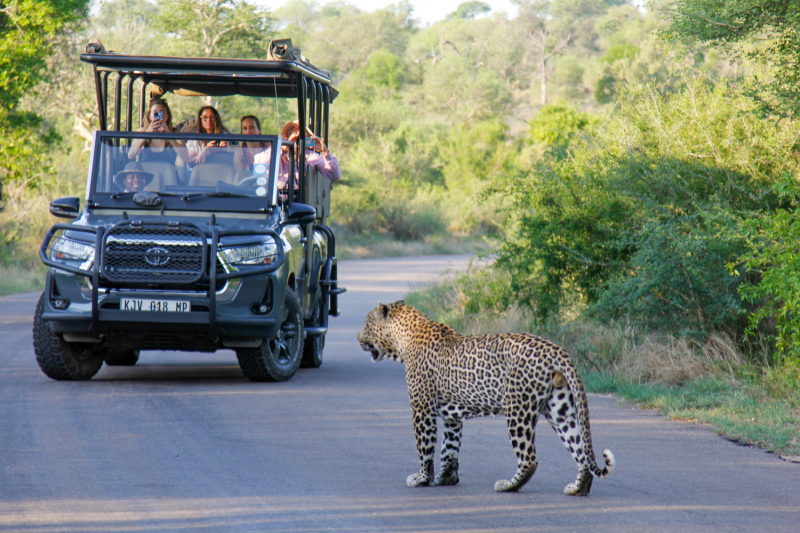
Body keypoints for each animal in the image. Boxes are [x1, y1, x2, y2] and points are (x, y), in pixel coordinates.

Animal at [360, 302, 616, 492]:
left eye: (366, 324)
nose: (357, 338)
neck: (402, 342)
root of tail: (555, 349)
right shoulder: (452, 416)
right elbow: (449, 448)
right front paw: (447, 478)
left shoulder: (422, 408)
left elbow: (425, 446)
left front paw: (422, 478)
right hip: (560, 408)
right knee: (580, 449)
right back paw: (578, 488)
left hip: (518, 409)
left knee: (529, 458)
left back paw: (508, 485)